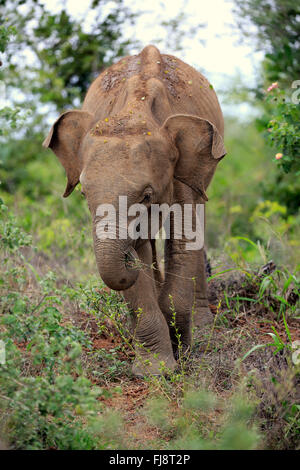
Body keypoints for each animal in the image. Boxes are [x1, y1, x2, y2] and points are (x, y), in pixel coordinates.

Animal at [43, 46, 226, 378]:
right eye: (84, 194)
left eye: (147, 196)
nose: (126, 253)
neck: (136, 110)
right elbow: (139, 266)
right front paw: (156, 370)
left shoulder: (181, 172)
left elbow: (184, 239)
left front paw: (182, 350)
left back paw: (203, 325)